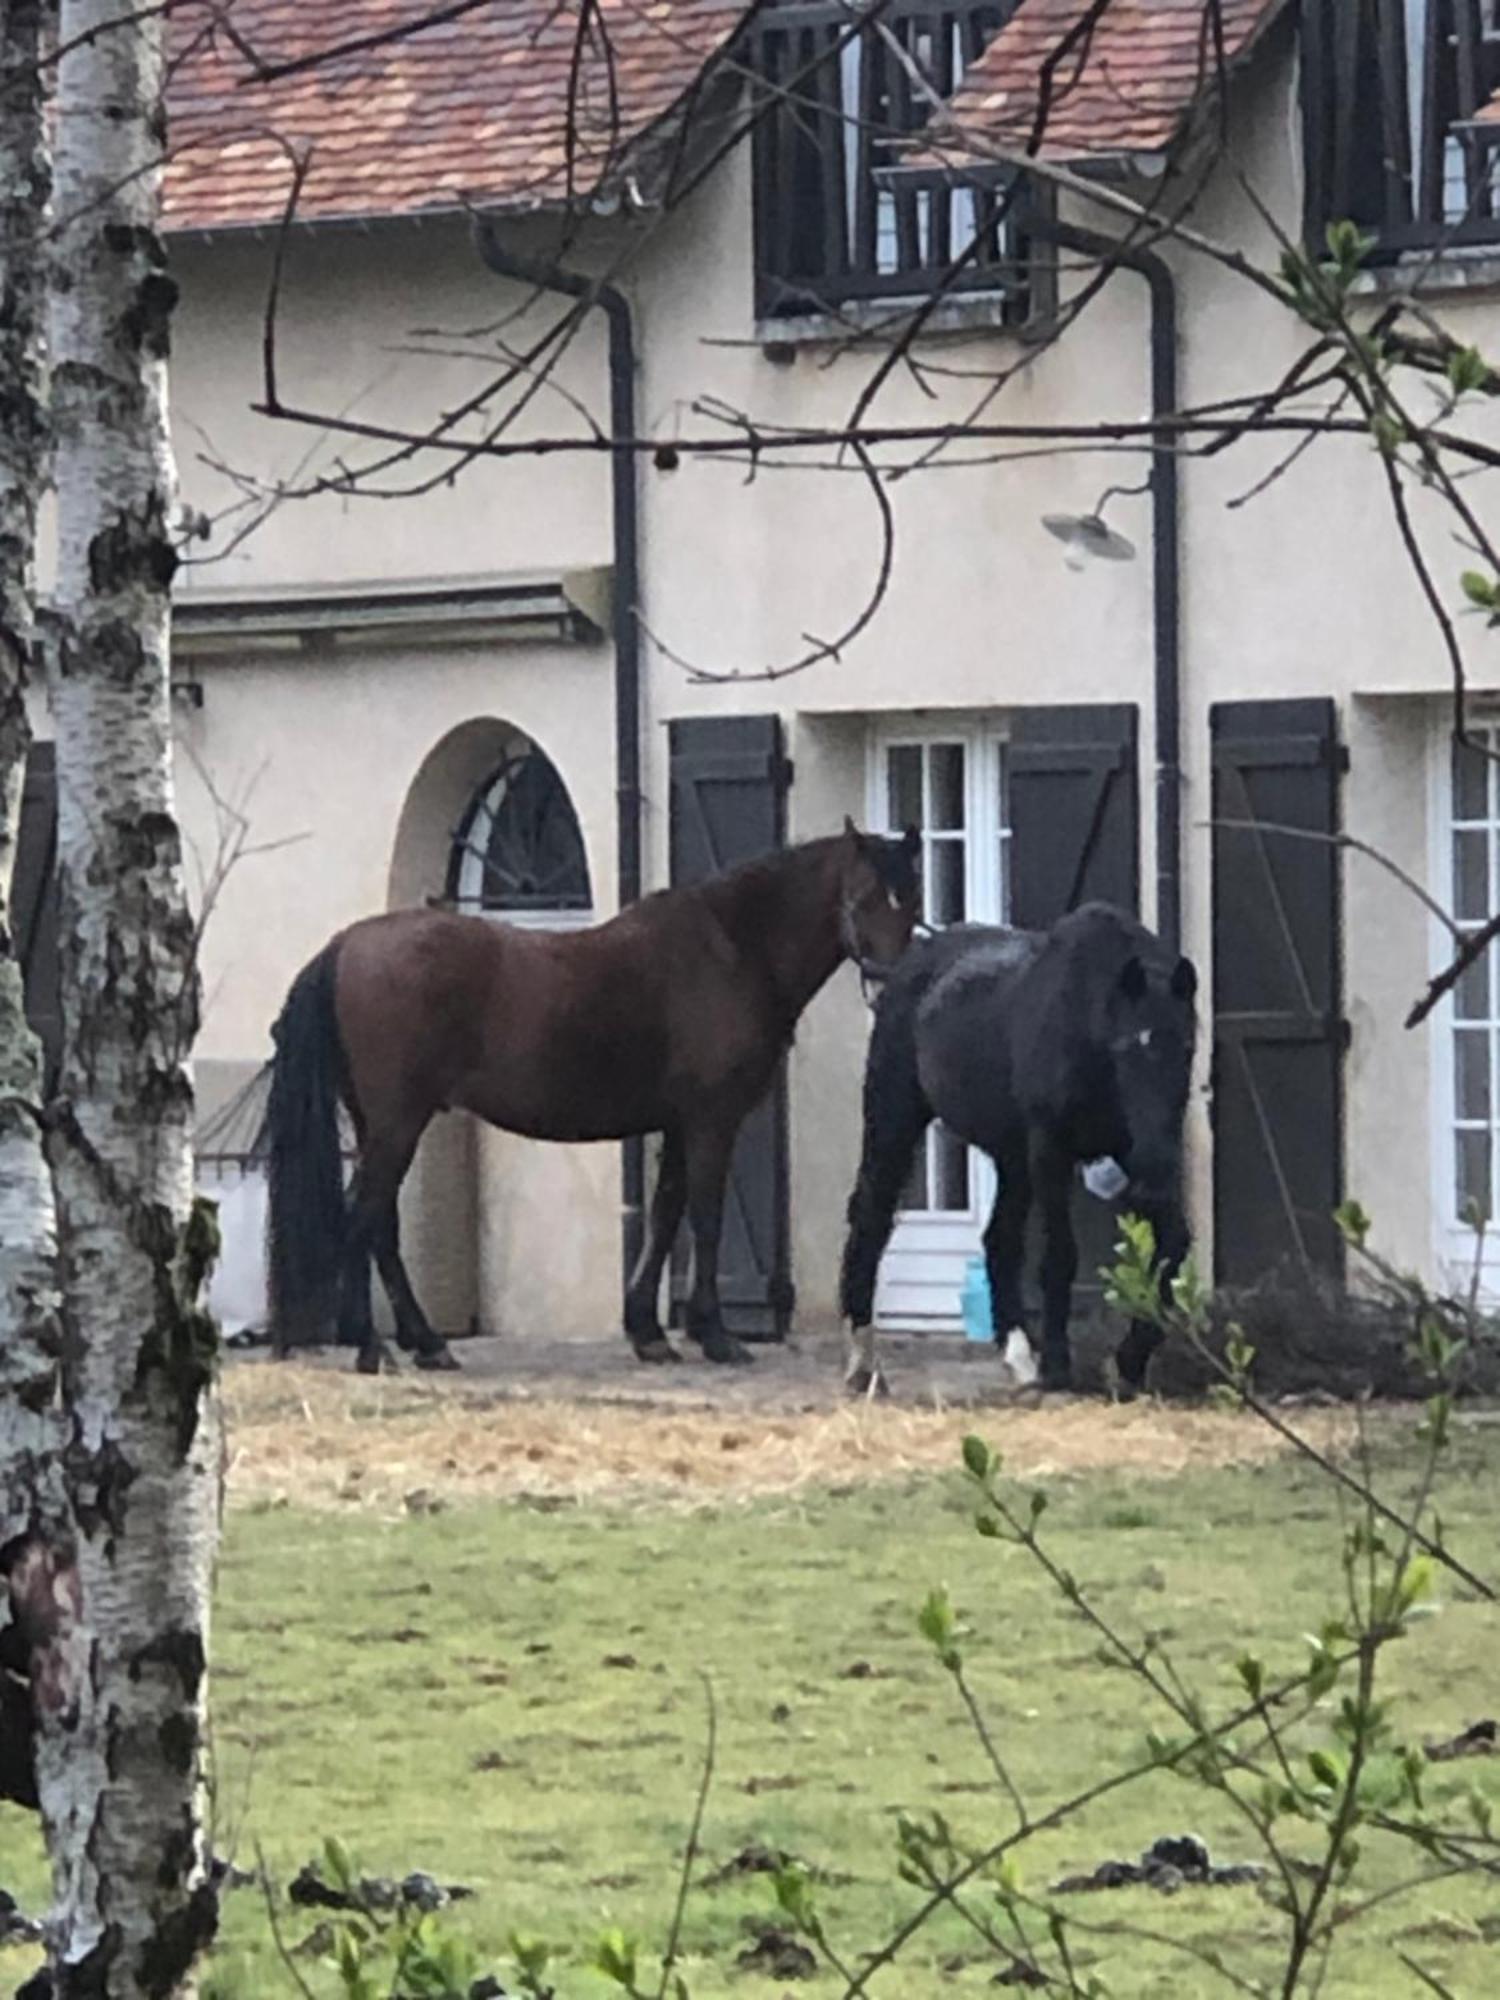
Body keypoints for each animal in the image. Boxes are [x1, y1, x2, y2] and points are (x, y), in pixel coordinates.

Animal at [262, 820, 916, 1368]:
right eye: (862, 898)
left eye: (909, 901)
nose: (892, 985)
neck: (734, 948)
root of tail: (347, 944)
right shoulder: (711, 1120)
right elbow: (704, 1219)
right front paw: (715, 1336)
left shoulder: (678, 1123)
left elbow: (666, 1213)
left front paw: (649, 1333)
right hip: (398, 1122)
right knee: (363, 1215)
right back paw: (373, 1345)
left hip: (382, 1123)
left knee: (380, 1225)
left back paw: (423, 1343)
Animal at [848, 904, 1200, 1392]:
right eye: (1127, 1050)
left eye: (1186, 1049)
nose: (1155, 1166)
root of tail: (907, 964)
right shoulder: (1051, 1150)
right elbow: (1060, 1255)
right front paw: (1058, 1364)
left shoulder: (1124, 1152)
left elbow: (1173, 1244)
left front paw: (1128, 1360)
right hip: (895, 1119)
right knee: (871, 1215)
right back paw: (862, 1362)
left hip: (1011, 1158)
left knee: (999, 1239)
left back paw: (1018, 1355)